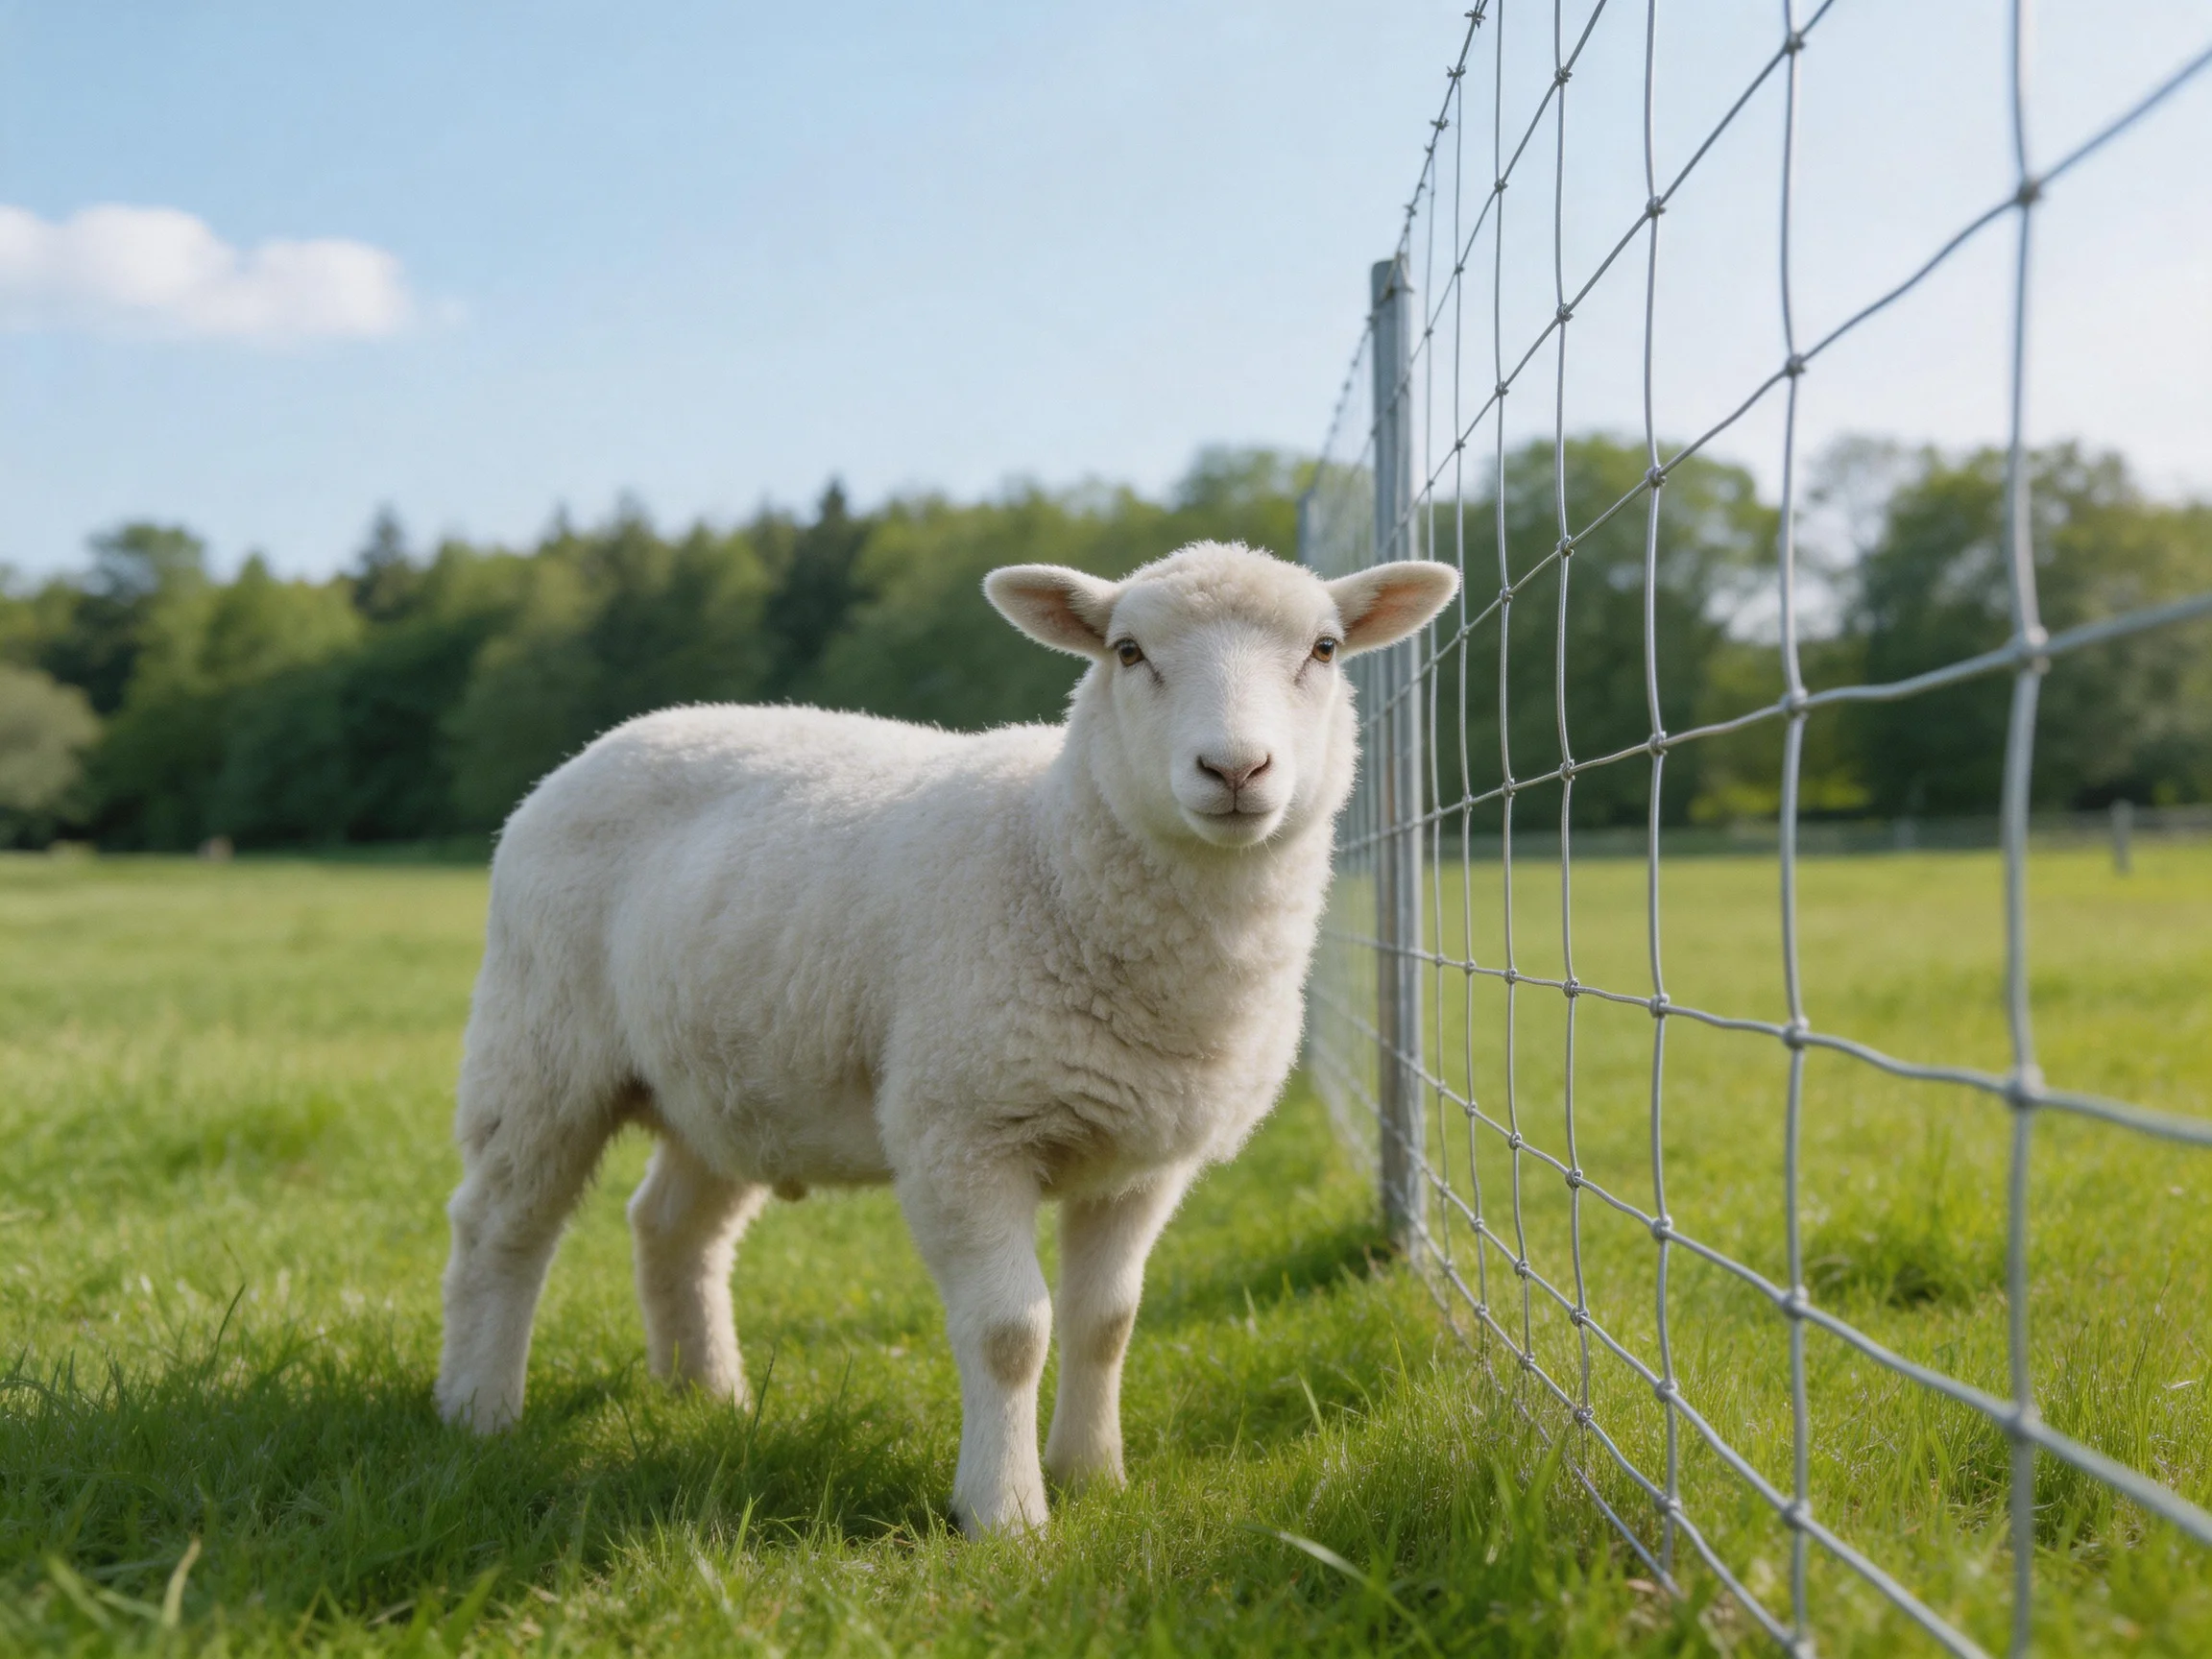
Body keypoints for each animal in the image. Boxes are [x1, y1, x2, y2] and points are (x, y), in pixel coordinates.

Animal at [434, 540, 1459, 1534]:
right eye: (1128, 652)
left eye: (1325, 649)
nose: (1236, 771)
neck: (1053, 852)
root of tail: (607, 742)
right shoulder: (962, 1130)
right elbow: (1012, 1332)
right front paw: (1005, 1513)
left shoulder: (1144, 1159)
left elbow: (1106, 1320)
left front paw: (1094, 1477)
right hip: (540, 1045)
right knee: (500, 1227)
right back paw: (478, 1411)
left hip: (723, 1079)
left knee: (672, 1228)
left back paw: (706, 1395)